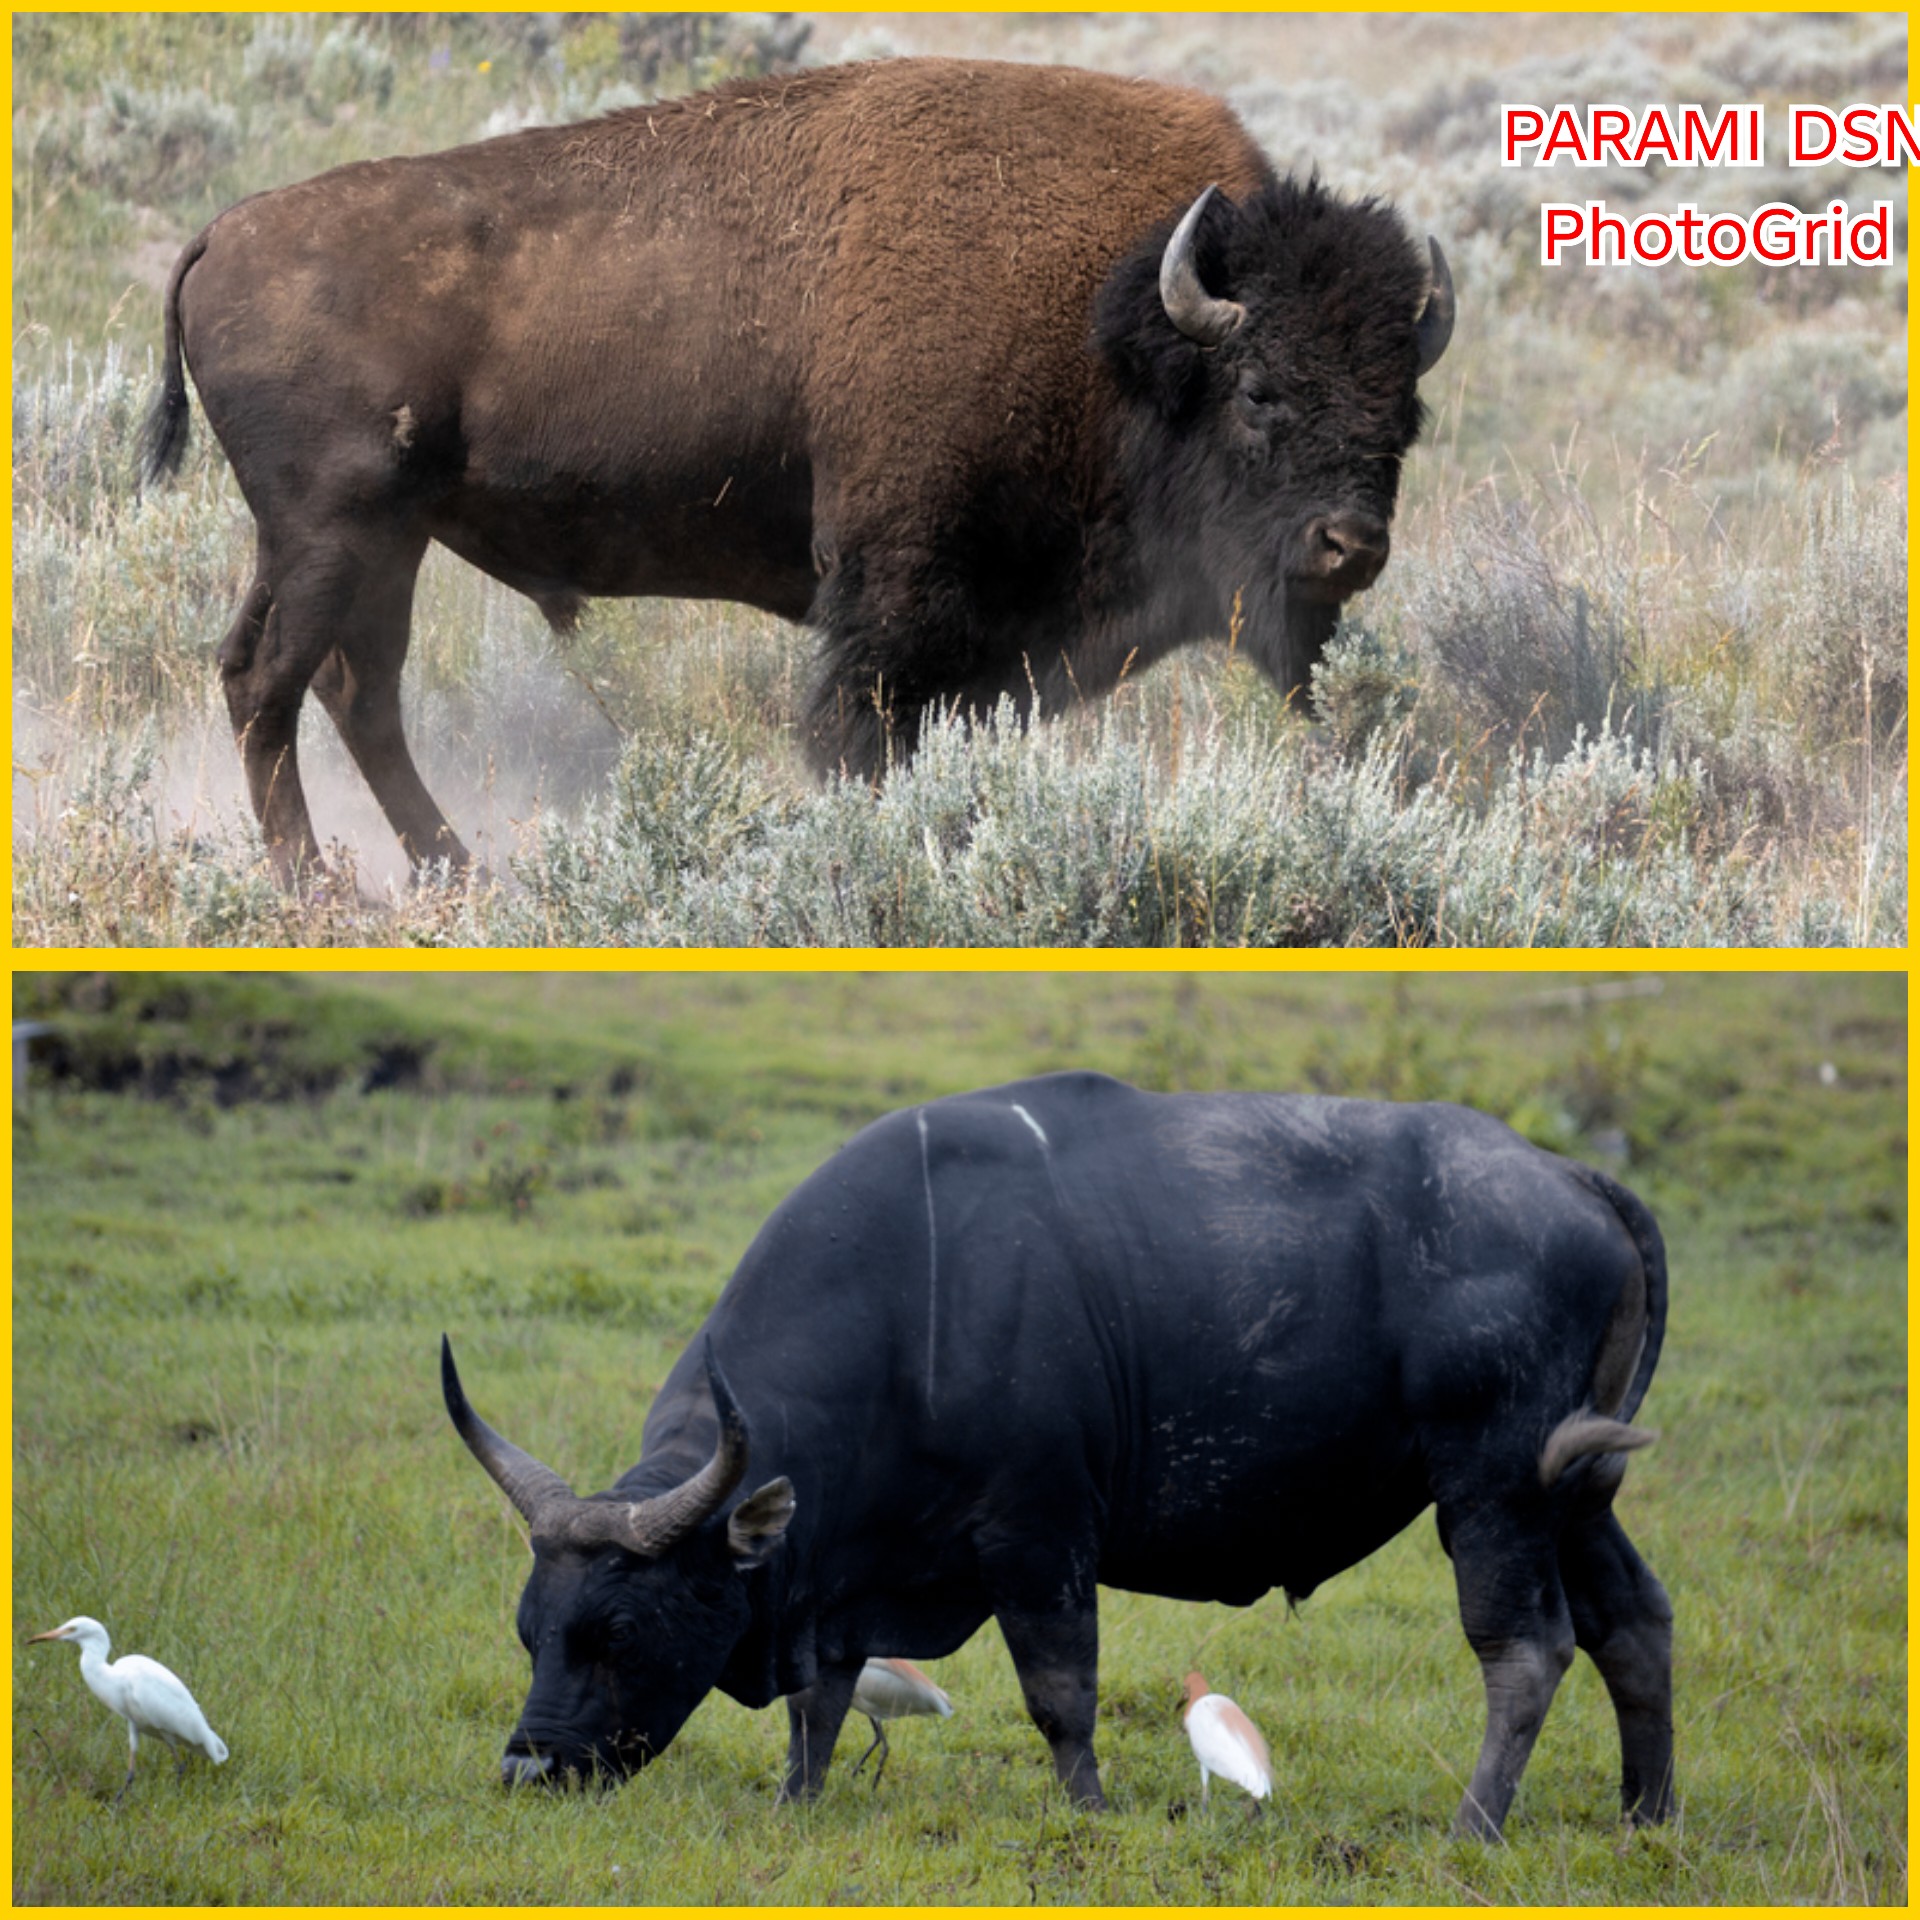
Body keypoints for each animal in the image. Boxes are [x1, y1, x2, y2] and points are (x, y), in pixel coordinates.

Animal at [143, 58, 1454, 882]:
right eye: (1259, 390)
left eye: (1408, 410)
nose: (1351, 547)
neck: (1114, 327)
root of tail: (222, 232)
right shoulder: (895, 597)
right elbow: (853, 738)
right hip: (335, 530)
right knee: (270, 681)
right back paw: (317, 887)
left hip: (379, 542)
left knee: (349, 688)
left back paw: (453, 873)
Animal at [443, 1073, 1672, 1837]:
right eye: (532, 1632)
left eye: (619, 1631)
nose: (526, 1769)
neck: (912, 1302)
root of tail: (1569, 1177)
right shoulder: (842, 1575)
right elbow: (819, 1703)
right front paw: (797, 1802)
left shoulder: (1038, 1537)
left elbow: (1059, 1695)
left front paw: (1088, 1812)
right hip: (1576, 1495)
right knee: (1633, 1620)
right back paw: (1645, 1816)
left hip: (1495, 1491)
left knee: (1527, 1650)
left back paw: (1472, 1828)